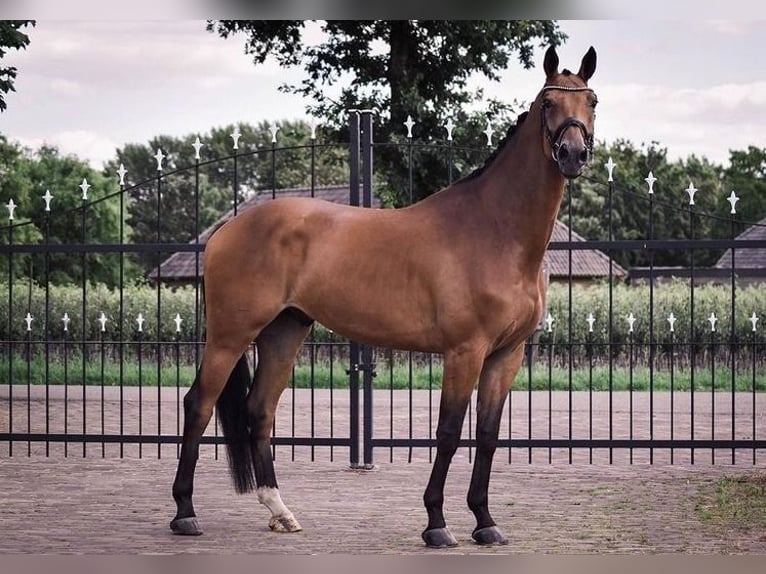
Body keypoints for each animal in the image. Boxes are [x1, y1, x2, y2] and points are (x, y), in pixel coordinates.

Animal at [170, 44, 598, 548]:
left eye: (592, 101)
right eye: (549, 103)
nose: (573, 154)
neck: (495, 231)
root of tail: (226, 229)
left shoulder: (506, 355)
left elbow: (488, 436)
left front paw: (485, 521)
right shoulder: (465, 351)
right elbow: (449, 432)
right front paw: (436, 523)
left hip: (284, 331)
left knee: (260, 410)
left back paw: (280, 511)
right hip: (230, 335)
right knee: (198, 405)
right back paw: (185, 513)